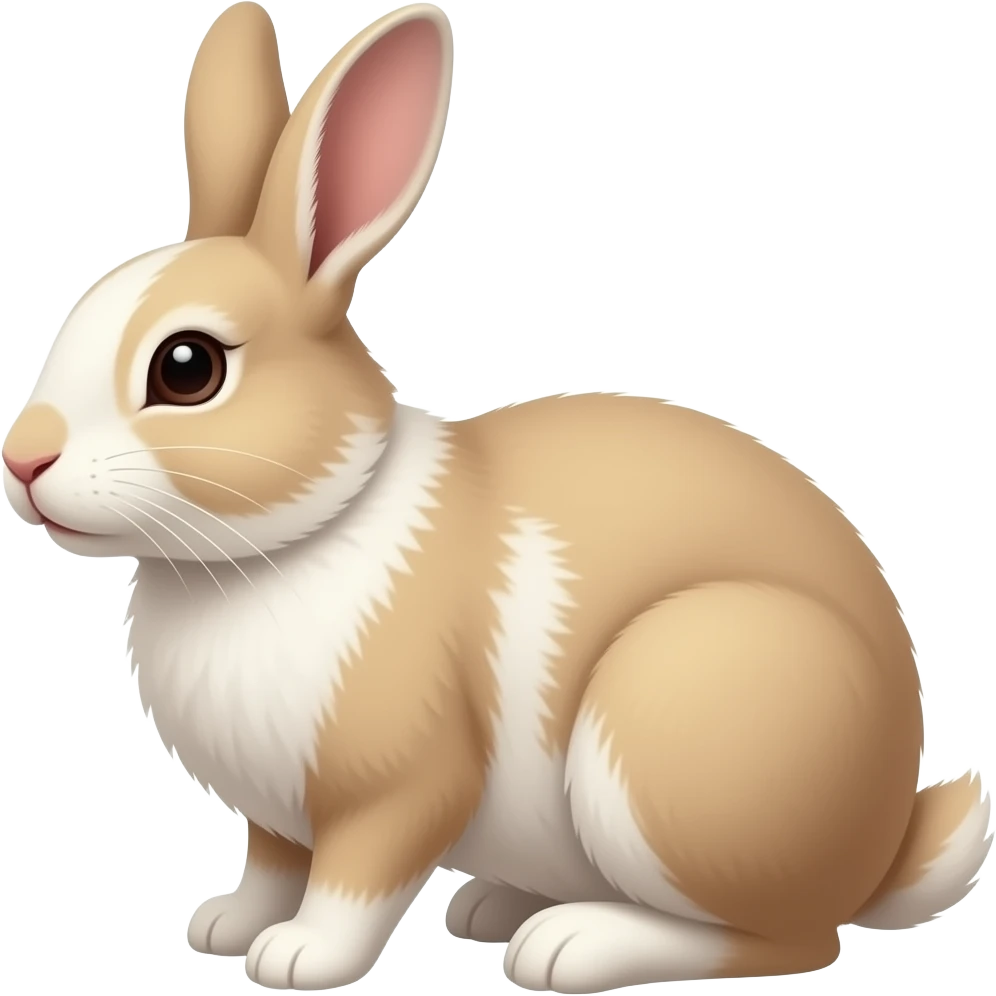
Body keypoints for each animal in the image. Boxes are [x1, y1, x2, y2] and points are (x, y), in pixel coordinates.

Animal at [2, 2, 991, 992]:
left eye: (187, 367)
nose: (23, 459)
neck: (292, 538)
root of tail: (880, 848)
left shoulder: (400, 785)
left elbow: (354, 881)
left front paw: (298, 958)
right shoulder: (276, 812)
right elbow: (271, 866)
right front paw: (224, 926)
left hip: (670, 735)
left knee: (783, 939)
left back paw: (569, 945)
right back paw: (494, 907)